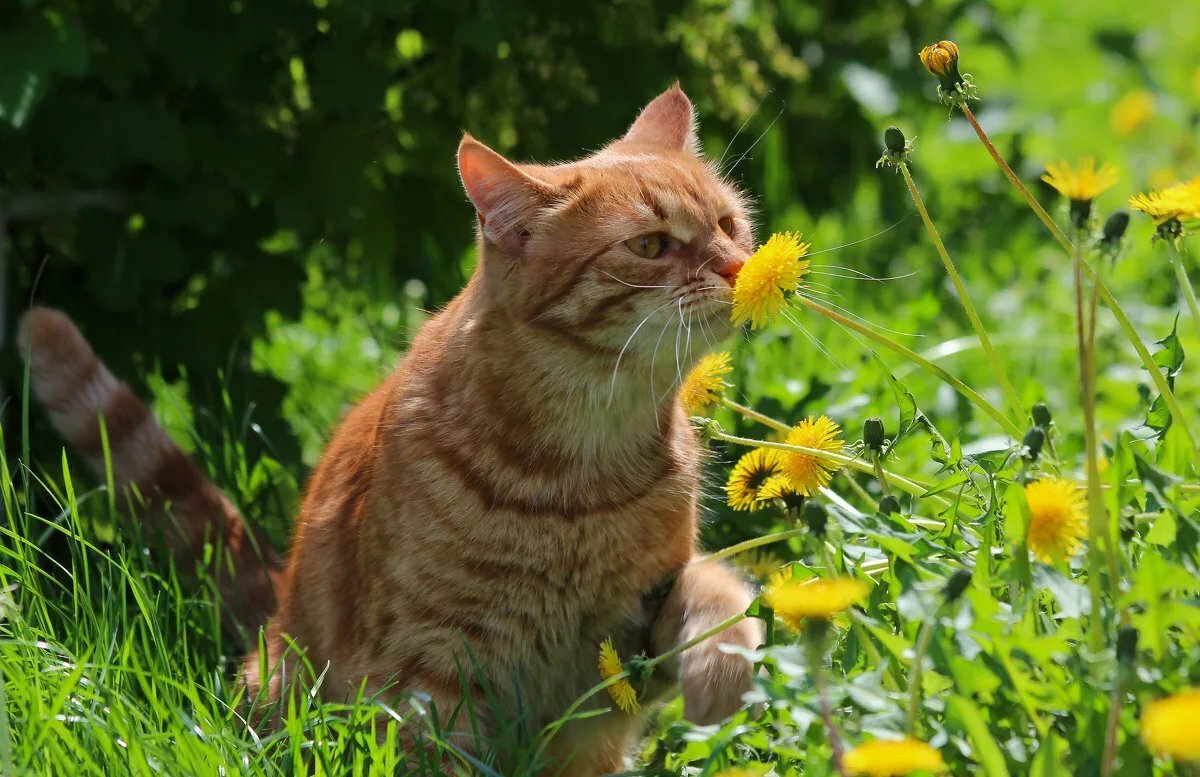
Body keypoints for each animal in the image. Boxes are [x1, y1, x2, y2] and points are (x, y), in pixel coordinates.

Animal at [16, 86, 758, 772]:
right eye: (650, 245)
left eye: (728, 223)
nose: (738, 266)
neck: (582, 465)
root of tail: (275, 611)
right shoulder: (434, 670)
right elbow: (436, 754)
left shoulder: (633, 633)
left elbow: (720, 595)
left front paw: (725, 676)